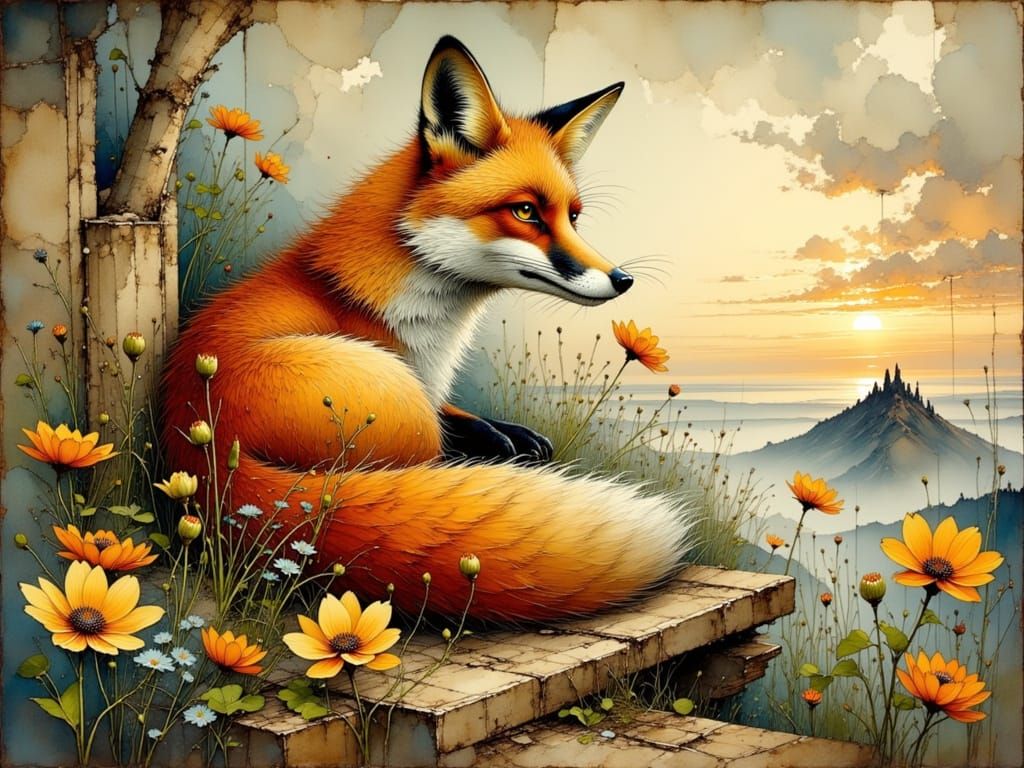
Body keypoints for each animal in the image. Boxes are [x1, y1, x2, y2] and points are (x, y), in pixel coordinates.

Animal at [162, 36, 692, 623]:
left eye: (572, 217)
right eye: (525, 211)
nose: (623, 279)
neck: (432, 333)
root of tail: (203, 456)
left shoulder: (434, 388)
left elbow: (473, 419)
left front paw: (513, 436)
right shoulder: (419, 388)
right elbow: (461, 432)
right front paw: (500, 444)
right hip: (400, 402)